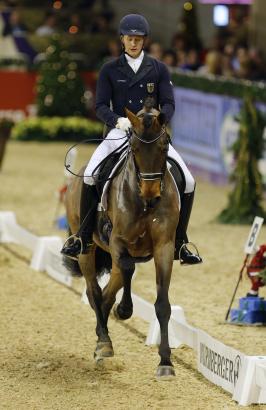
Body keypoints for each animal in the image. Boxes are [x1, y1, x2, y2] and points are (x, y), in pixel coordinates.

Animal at [64, 102, 180, 378]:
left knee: (107, 294)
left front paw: (165, 362)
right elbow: (127, 270)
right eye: (134, 148)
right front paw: (125, 310)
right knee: (94, 291)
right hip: (87, 248)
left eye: (164, 147)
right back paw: (104, 343)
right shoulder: (118, 241)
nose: (151, 194)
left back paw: (102, 338)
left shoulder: (164, 247)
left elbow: (163, 304)